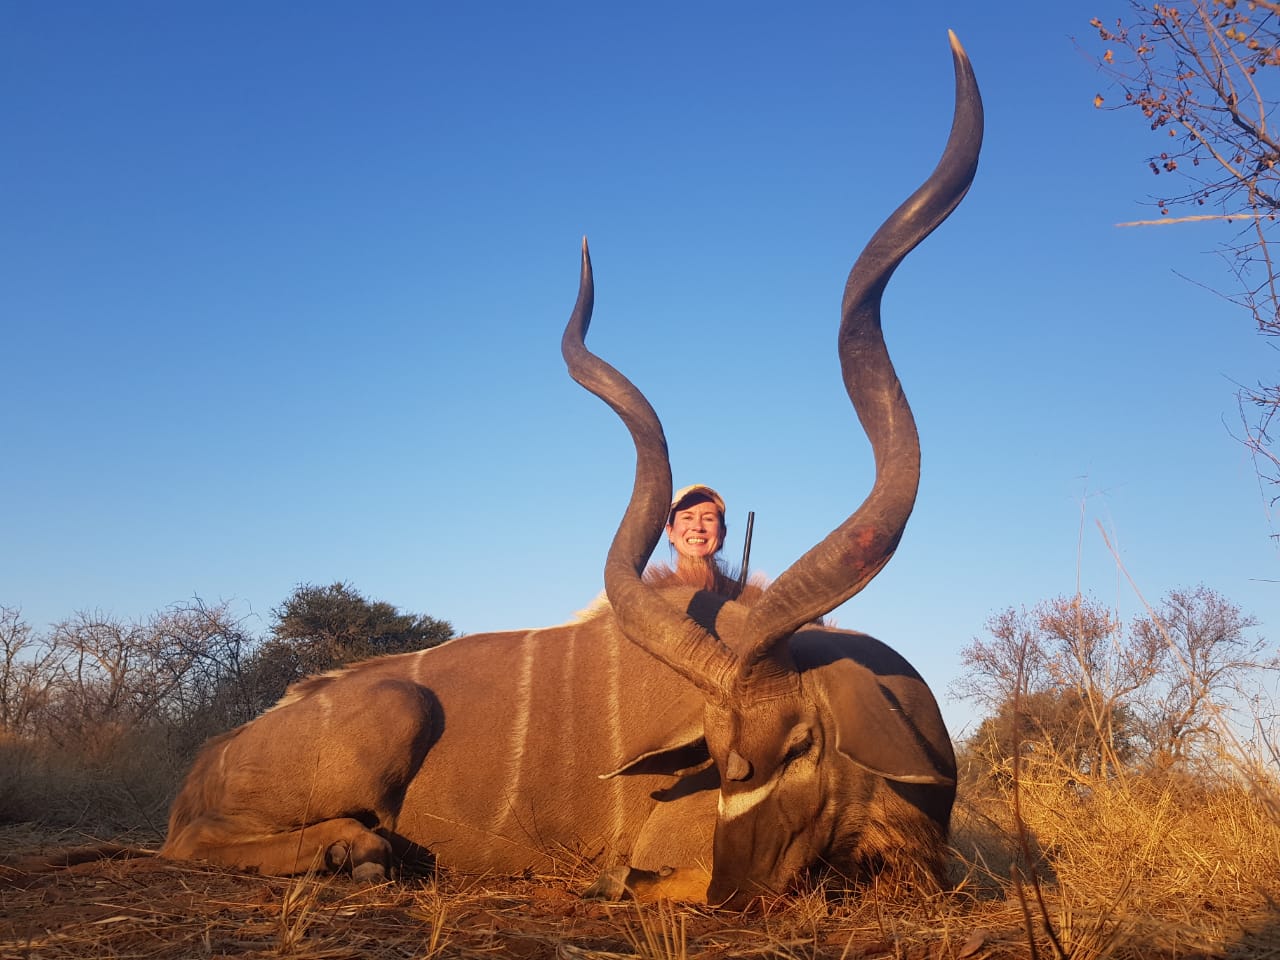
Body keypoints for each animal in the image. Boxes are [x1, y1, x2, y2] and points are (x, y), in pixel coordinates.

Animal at [158, 31, 983, 909]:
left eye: (799, 746)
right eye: (718, 758)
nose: (735, 892)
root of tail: (208, 761)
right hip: (390, 715)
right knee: (197, 843)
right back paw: (358, 851)